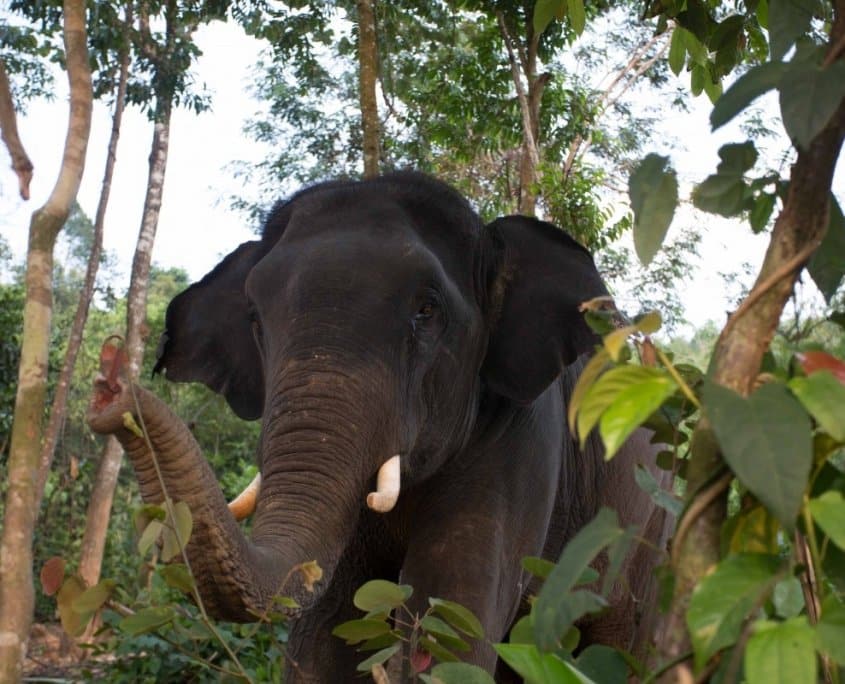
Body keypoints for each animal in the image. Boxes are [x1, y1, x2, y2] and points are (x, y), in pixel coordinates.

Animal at [87, 172, 669, 682]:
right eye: (254, 317)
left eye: (427, 310)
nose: (112, 385)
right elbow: (327, 631)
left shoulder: (521, 439)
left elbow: (451, 618)